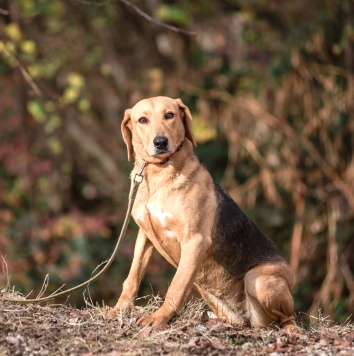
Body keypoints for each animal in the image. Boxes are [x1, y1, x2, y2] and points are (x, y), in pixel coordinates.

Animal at [110, 95, 296, 330]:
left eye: (169, 115)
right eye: (142, 120)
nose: (160, 142)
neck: (159, 173)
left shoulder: (194, 241)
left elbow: (176, 286)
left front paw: (158, 318)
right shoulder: (145, 235)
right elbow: (133, 276)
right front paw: (119, 310)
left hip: (258, 279)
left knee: (288, 319)